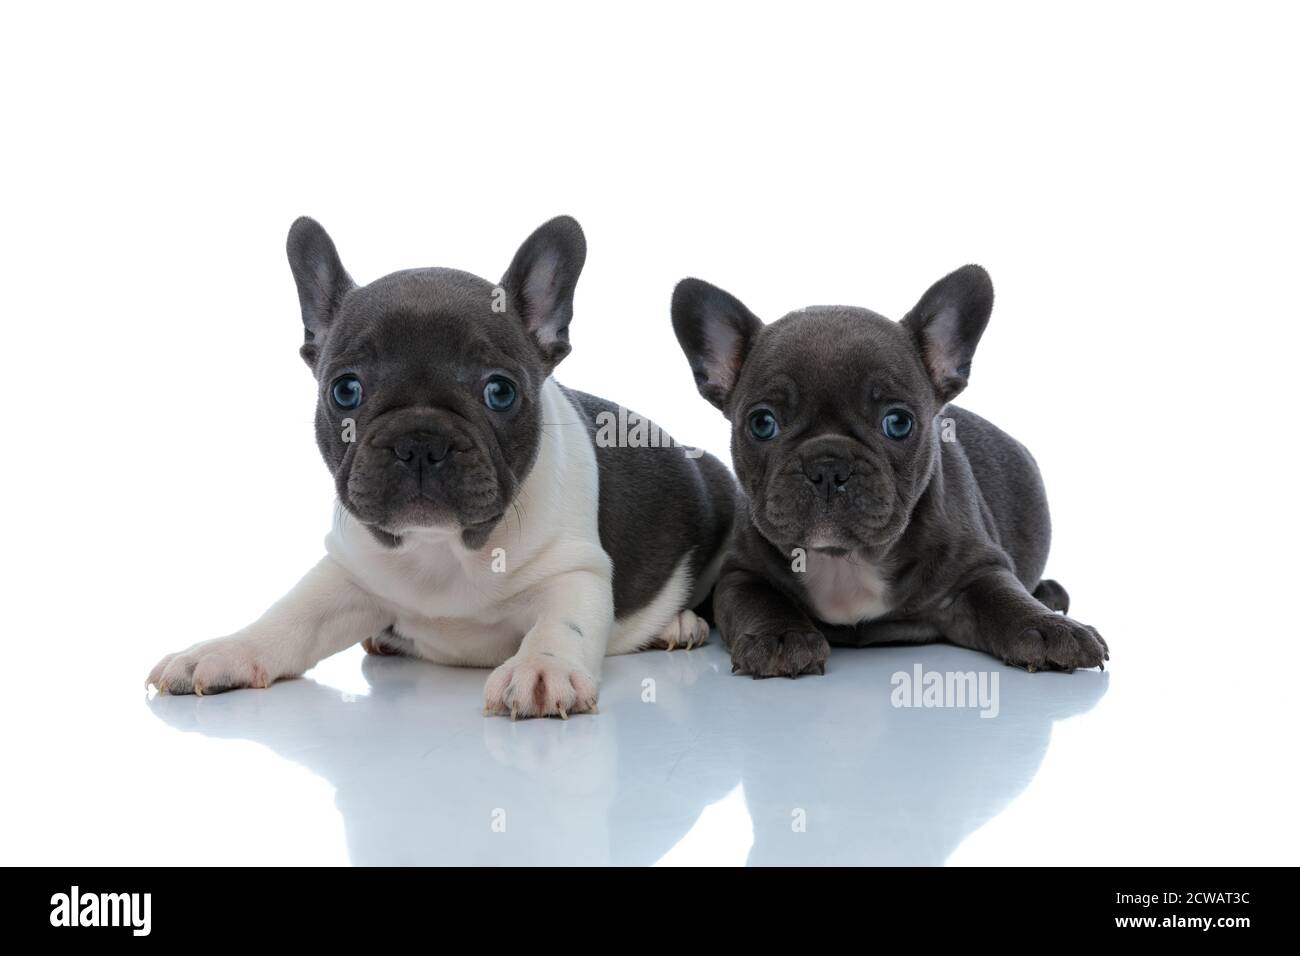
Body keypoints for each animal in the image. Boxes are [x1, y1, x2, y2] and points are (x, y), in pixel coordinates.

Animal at [148, 213, 738, 712]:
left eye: (500, 392)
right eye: (346, 390)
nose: (419, 442)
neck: (444, 551)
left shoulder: (575, 571)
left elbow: (559, 624)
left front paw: (540, 668)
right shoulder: (347, 572)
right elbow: (290, 616)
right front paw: (223, 650)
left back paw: (677, 626)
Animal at [670, 265, 1107, 676]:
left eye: (898, 422)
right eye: (762, 423)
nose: (828, 467)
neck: (844, 560)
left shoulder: (977, 569)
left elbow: (1005, 597)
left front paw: (1050, 629)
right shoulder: (741, 572)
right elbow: (759, 600)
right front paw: (779, 637)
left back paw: (1047, 595)